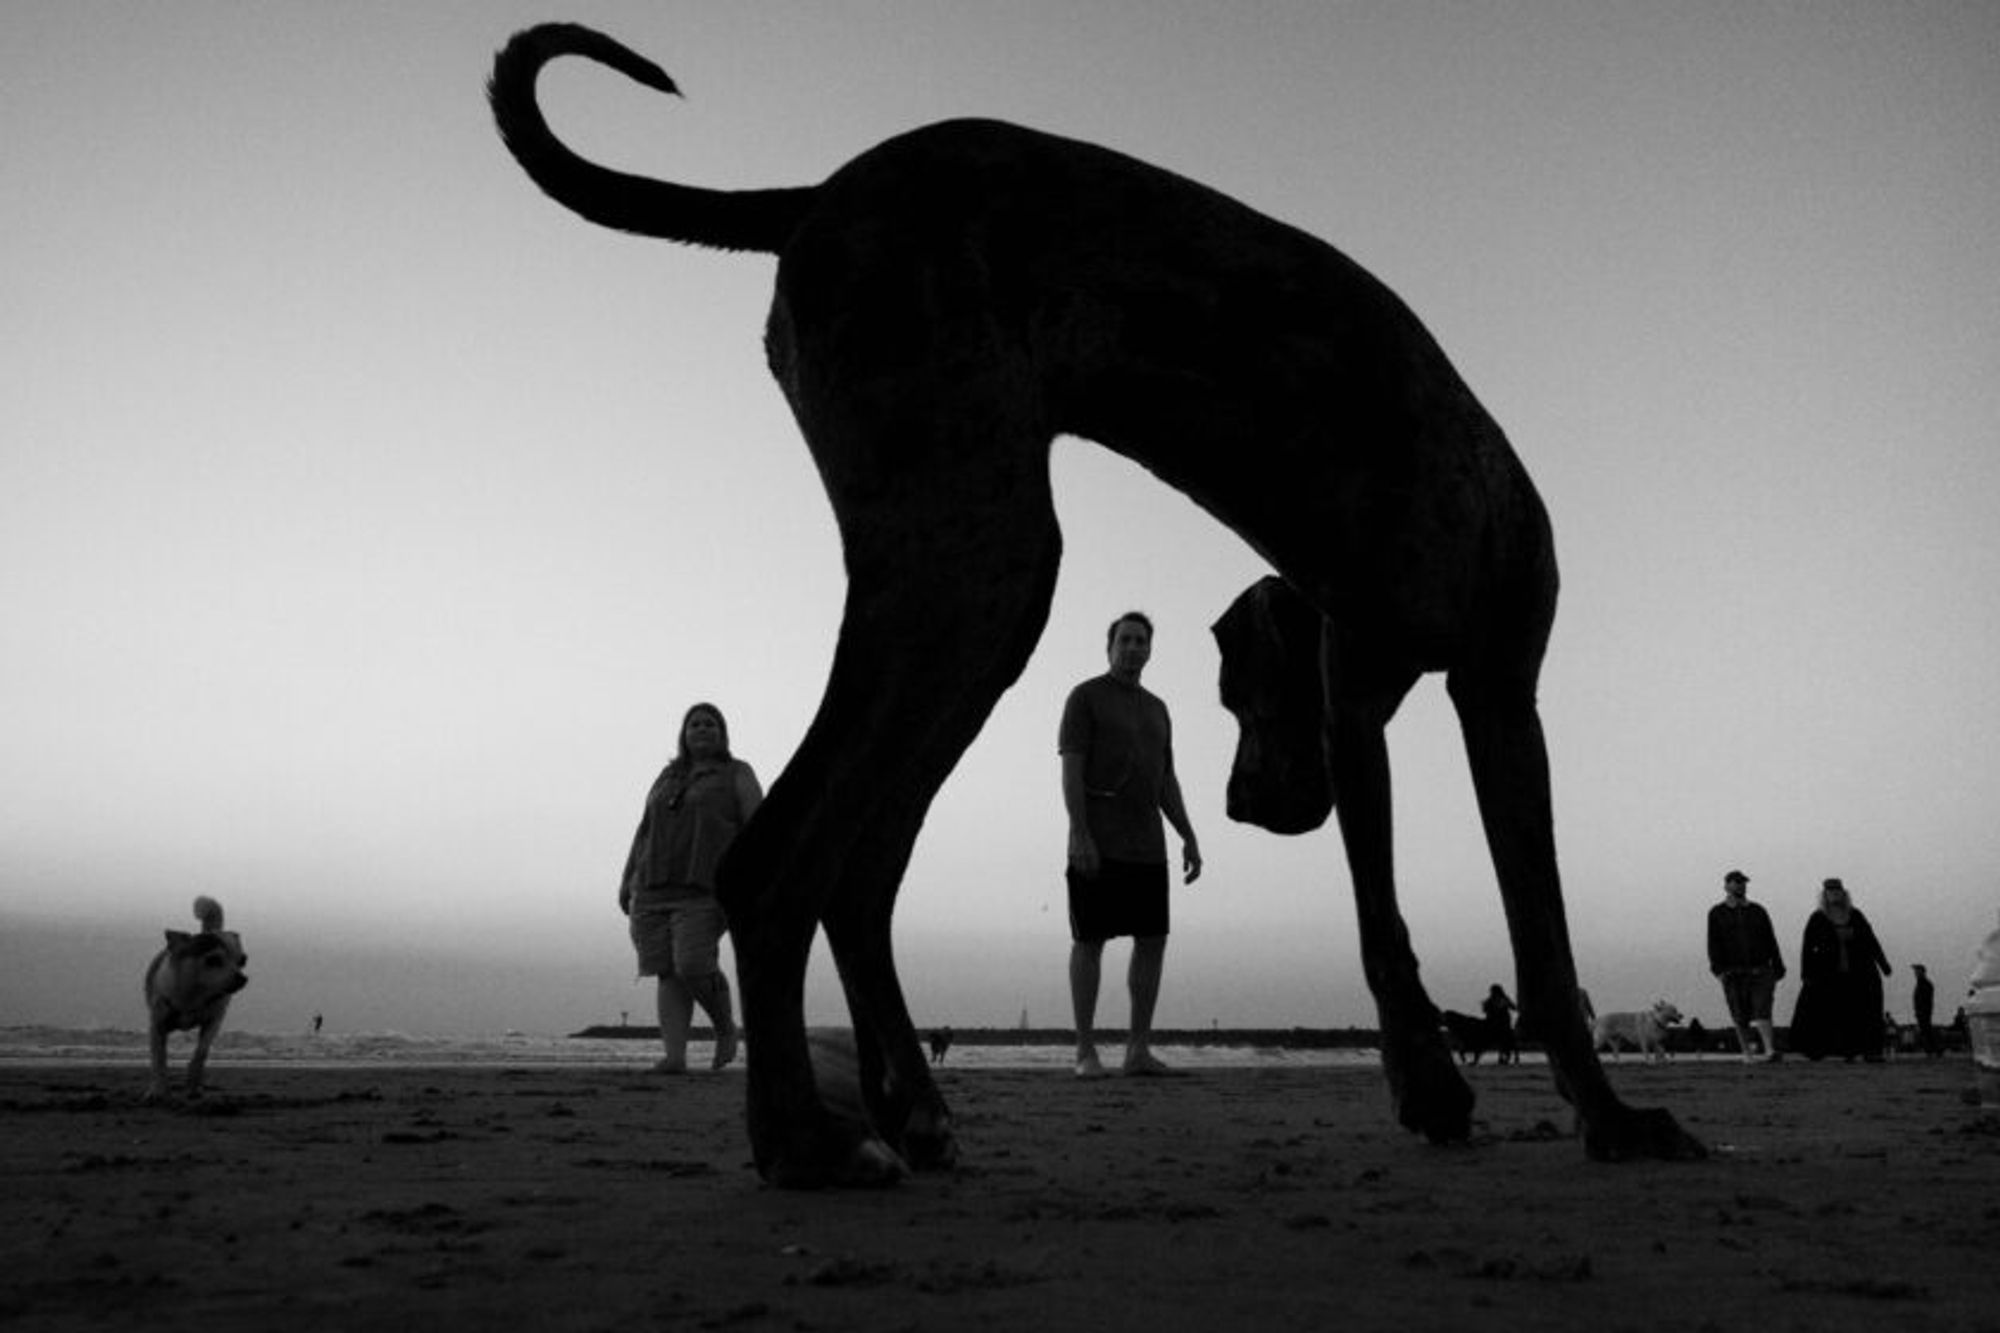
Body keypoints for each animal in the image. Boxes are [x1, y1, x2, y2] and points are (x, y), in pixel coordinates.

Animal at [145, 892, 248, 1096]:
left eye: (242, 961)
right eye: (213, 960)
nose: (242, 978)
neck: (194, 994)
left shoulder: (213, 1022)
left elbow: (201, 1052)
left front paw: (192, 1084)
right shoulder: (157, 1026)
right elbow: (159, 1058)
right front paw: (159, 1090)